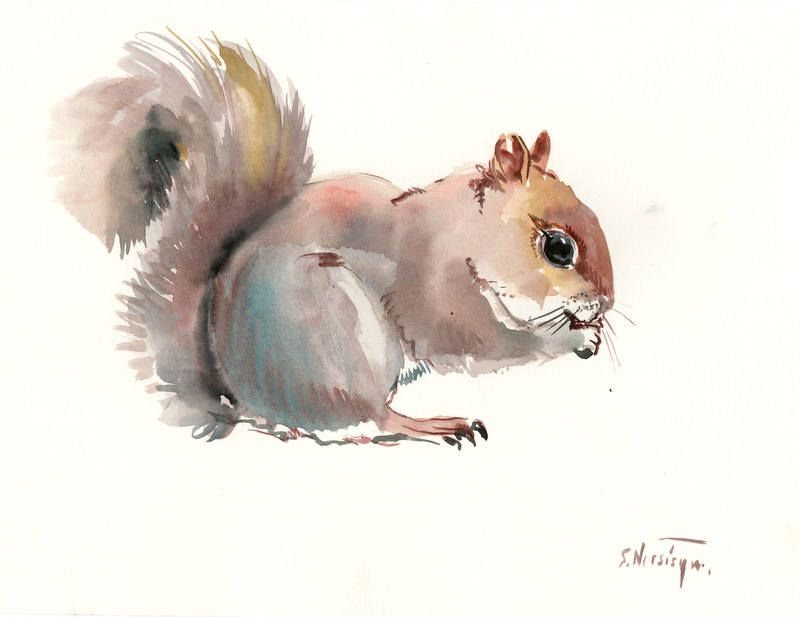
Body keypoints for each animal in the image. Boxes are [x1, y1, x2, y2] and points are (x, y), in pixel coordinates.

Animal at [51, 32, 615, 447]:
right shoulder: (439, 294)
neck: (464, 233)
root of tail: (246, 401)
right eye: (558, 248)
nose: (606, 302)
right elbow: (493, 343)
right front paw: (571, 337)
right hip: (337, 334)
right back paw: (431, 425)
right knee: (372, 418)